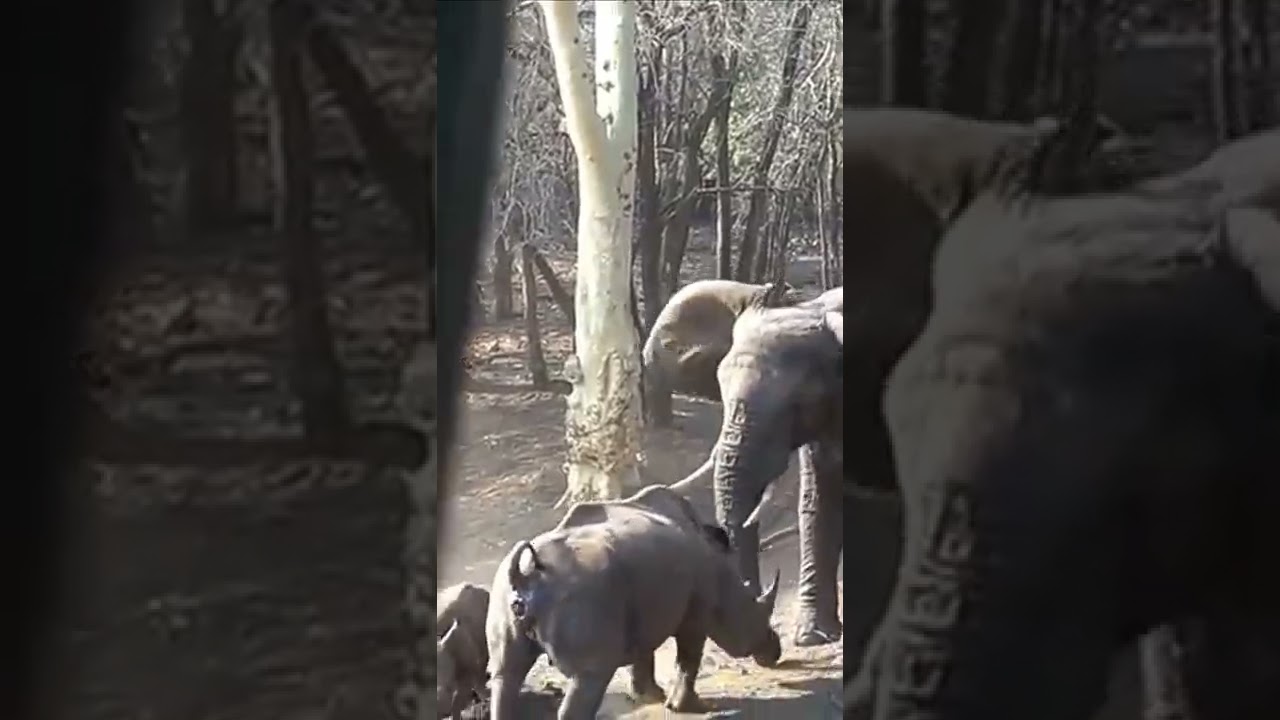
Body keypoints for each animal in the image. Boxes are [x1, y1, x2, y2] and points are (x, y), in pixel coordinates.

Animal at [484, 484, 781, 720]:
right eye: (754, 608)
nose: (774, 650)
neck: (722, 570)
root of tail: (524, 576)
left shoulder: (638, 603)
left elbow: (643, 654)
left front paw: (650, 696)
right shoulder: (696, 612)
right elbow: (689, 657)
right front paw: (690, 707)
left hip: (502, 593)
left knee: (505, 676)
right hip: (579, 596)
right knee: (589, 677)